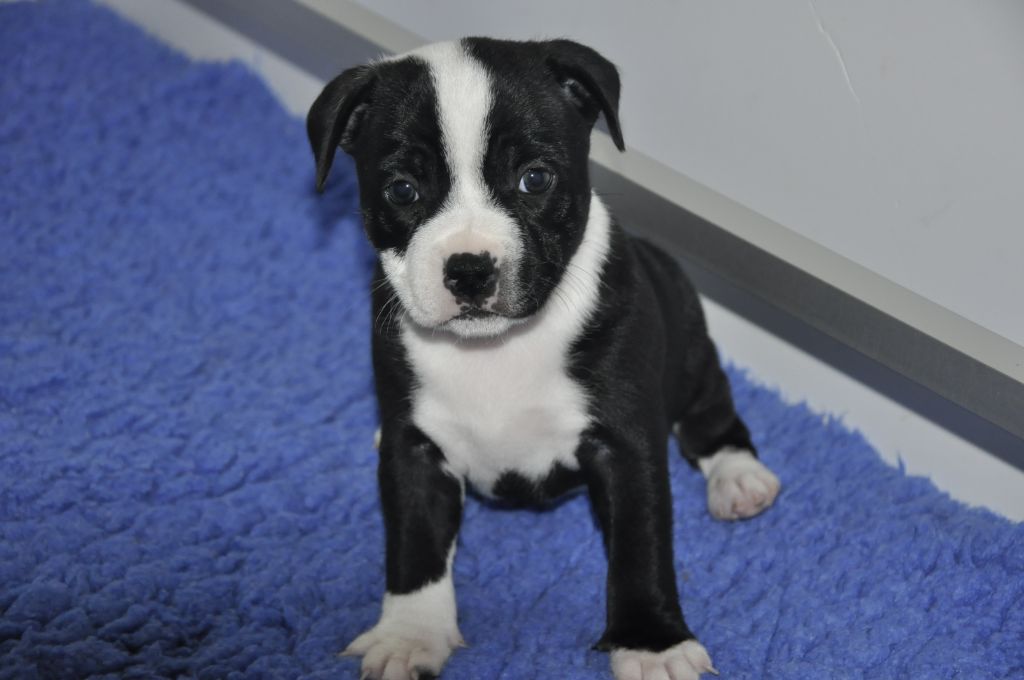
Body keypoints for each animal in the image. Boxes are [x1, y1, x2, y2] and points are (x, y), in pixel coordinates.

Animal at [307, 37, 781, 680]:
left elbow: (641, 546)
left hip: (690, 351)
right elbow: (414, 545)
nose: (470, 269)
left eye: (535, 179)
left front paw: (652, 644)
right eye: (402, 190)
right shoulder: (415, 450)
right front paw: (410, 635)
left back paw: (738, 478)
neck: (496, 348)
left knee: (711, 416)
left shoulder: (625, 443)